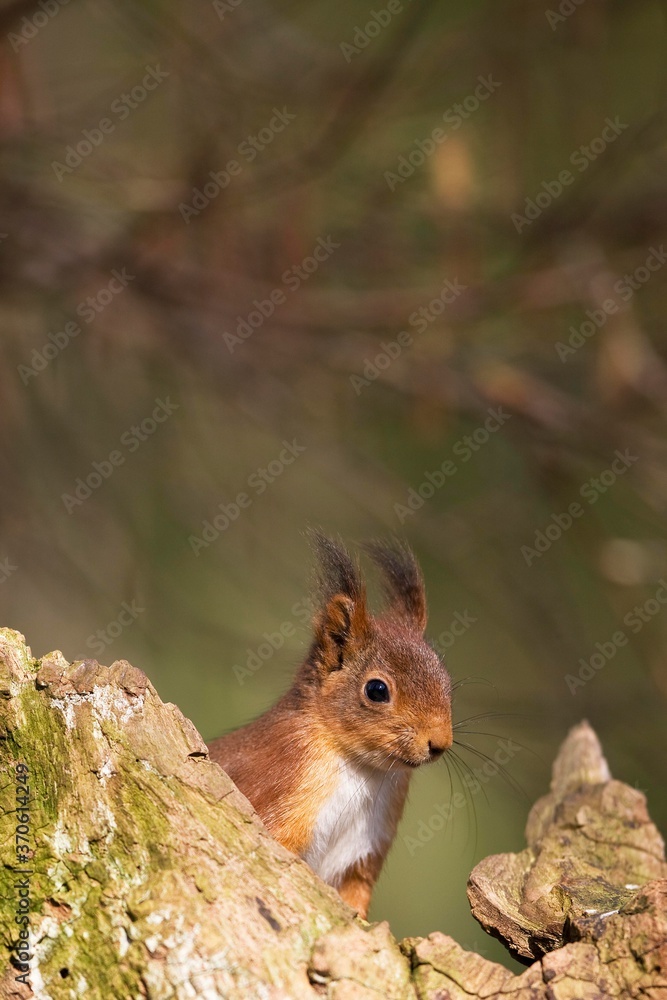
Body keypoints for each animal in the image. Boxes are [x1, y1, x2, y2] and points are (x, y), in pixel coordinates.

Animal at [207, 533, 453, 919]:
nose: (440, 742)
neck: (363, 771)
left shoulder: (363, 855)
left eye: (446, 679)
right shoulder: (277, 788)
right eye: (377, 690)